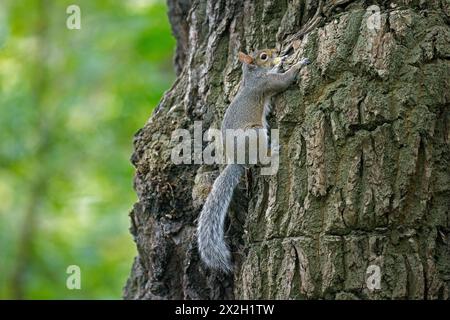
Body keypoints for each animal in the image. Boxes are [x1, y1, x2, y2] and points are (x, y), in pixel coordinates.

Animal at [197, 47, 310, 272]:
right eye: (263, 56)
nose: (276, 50)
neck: (252, 76)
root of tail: (238, 161)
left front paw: (281, 61)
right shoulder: (266, 84)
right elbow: (284, 81)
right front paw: (298, 64)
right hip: (255, 133)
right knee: (262, 158)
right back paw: (272, 150)